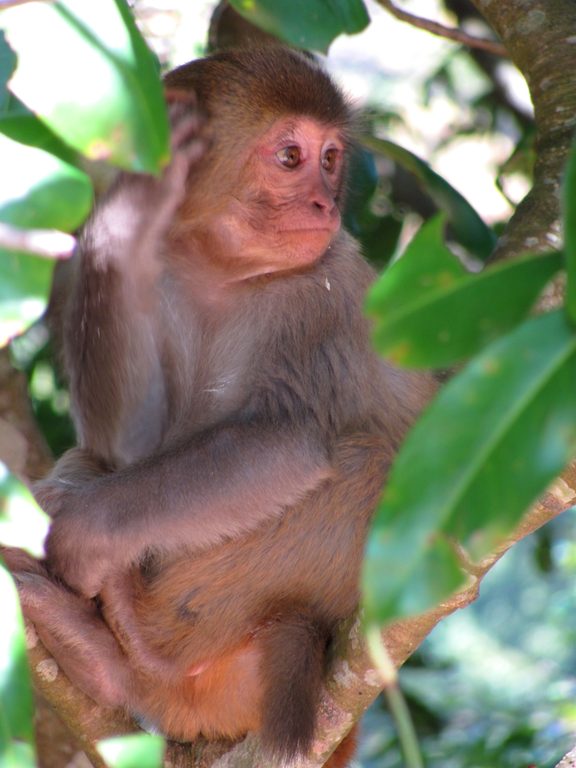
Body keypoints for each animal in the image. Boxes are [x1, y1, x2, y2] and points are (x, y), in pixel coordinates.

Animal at [3, 49, 436, 768]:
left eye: (330, 158)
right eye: (291, 157)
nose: (324, 202)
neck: (225, 271)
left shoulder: (320, 296)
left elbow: (284, 442)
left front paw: (78, 534)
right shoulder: (162, 276)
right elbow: (124, 444)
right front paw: (133, 205)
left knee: (368, 462)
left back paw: (146, 638)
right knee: (91, 458)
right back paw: (98, 655)